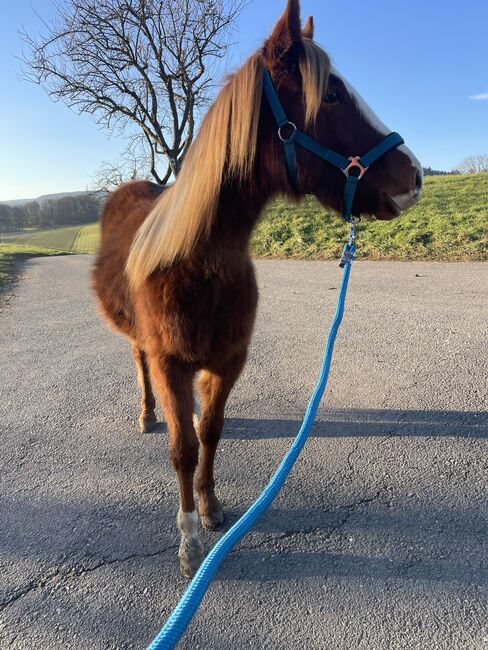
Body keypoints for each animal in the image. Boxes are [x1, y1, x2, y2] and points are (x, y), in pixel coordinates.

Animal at [93, 0, 422, 576]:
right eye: (331, 94)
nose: (416, 178)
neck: (195, 263)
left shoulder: (228, 360)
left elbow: (210, 431)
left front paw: (209, 506)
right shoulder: (169, 362)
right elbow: (182, 448)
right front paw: (188, 541)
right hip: (140, 344)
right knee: (139, 367)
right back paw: (148, 413)